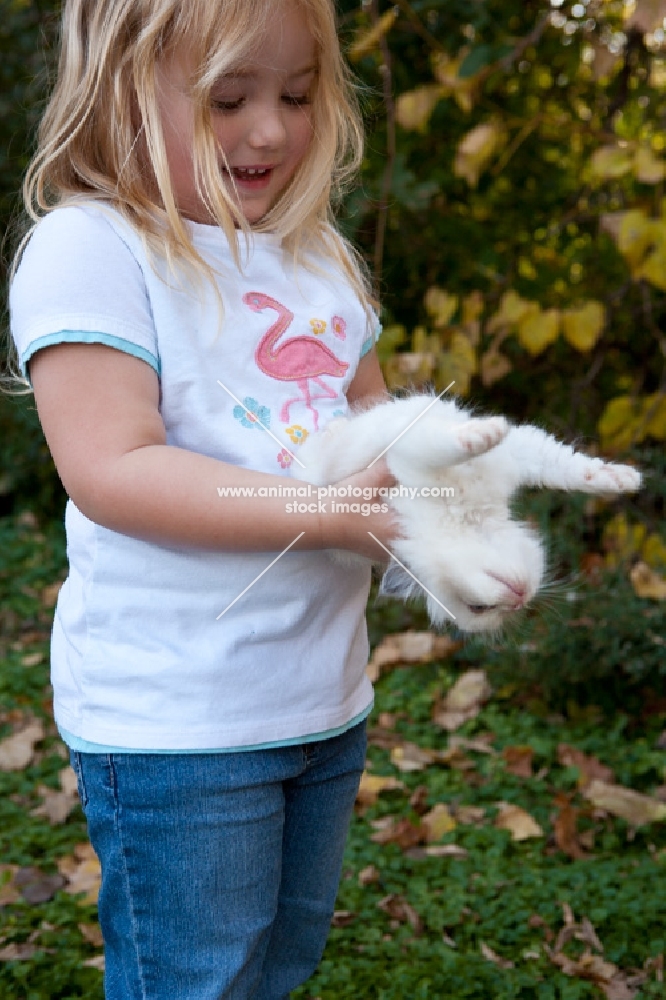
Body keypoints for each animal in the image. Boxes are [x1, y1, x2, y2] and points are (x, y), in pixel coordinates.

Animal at [298, 396, 640, 632]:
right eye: (479, 608)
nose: (519, 600)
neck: (473, 519)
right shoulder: (411, 457)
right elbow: (442, 445)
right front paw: (487, 432)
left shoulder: (517, 454)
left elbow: (566, 468)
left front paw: (626, 480)